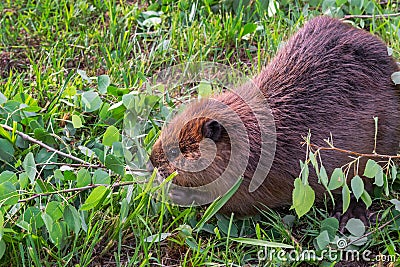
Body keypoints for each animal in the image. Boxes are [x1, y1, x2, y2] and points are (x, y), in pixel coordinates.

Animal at [148, 16, 400, 225]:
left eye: (177, 151)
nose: (152, 159)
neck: (250, 139)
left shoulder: (250, 182)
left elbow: (232, 204)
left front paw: (174, 192)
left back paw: (349, 214)